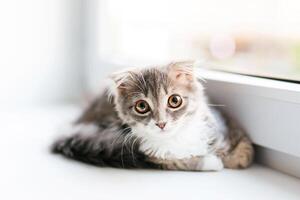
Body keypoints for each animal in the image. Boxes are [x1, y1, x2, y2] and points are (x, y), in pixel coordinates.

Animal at [51, 61, 253, 170]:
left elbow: (244, 154)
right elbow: (181, 161)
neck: (176, 138)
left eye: (174, 100)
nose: (161, 123)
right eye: (142, 106)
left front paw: (225, 158)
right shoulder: (152, 156)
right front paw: (212, 162)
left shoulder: (230, 128)